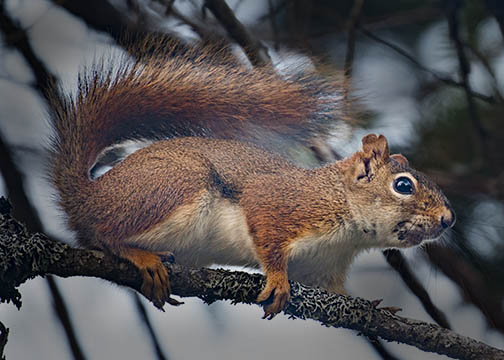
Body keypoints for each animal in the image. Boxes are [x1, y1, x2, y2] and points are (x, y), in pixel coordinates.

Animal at [49, 38, 454, 316]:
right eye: (403, 185)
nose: (448, 219)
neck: (347, 227)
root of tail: (88, 195)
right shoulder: (283, 201)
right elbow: (268, 237)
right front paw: (276, 280)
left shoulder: (323, 267)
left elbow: (339, 295)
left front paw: (372, 308)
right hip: (173, 187)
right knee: (104, 234)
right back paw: (138, 255)